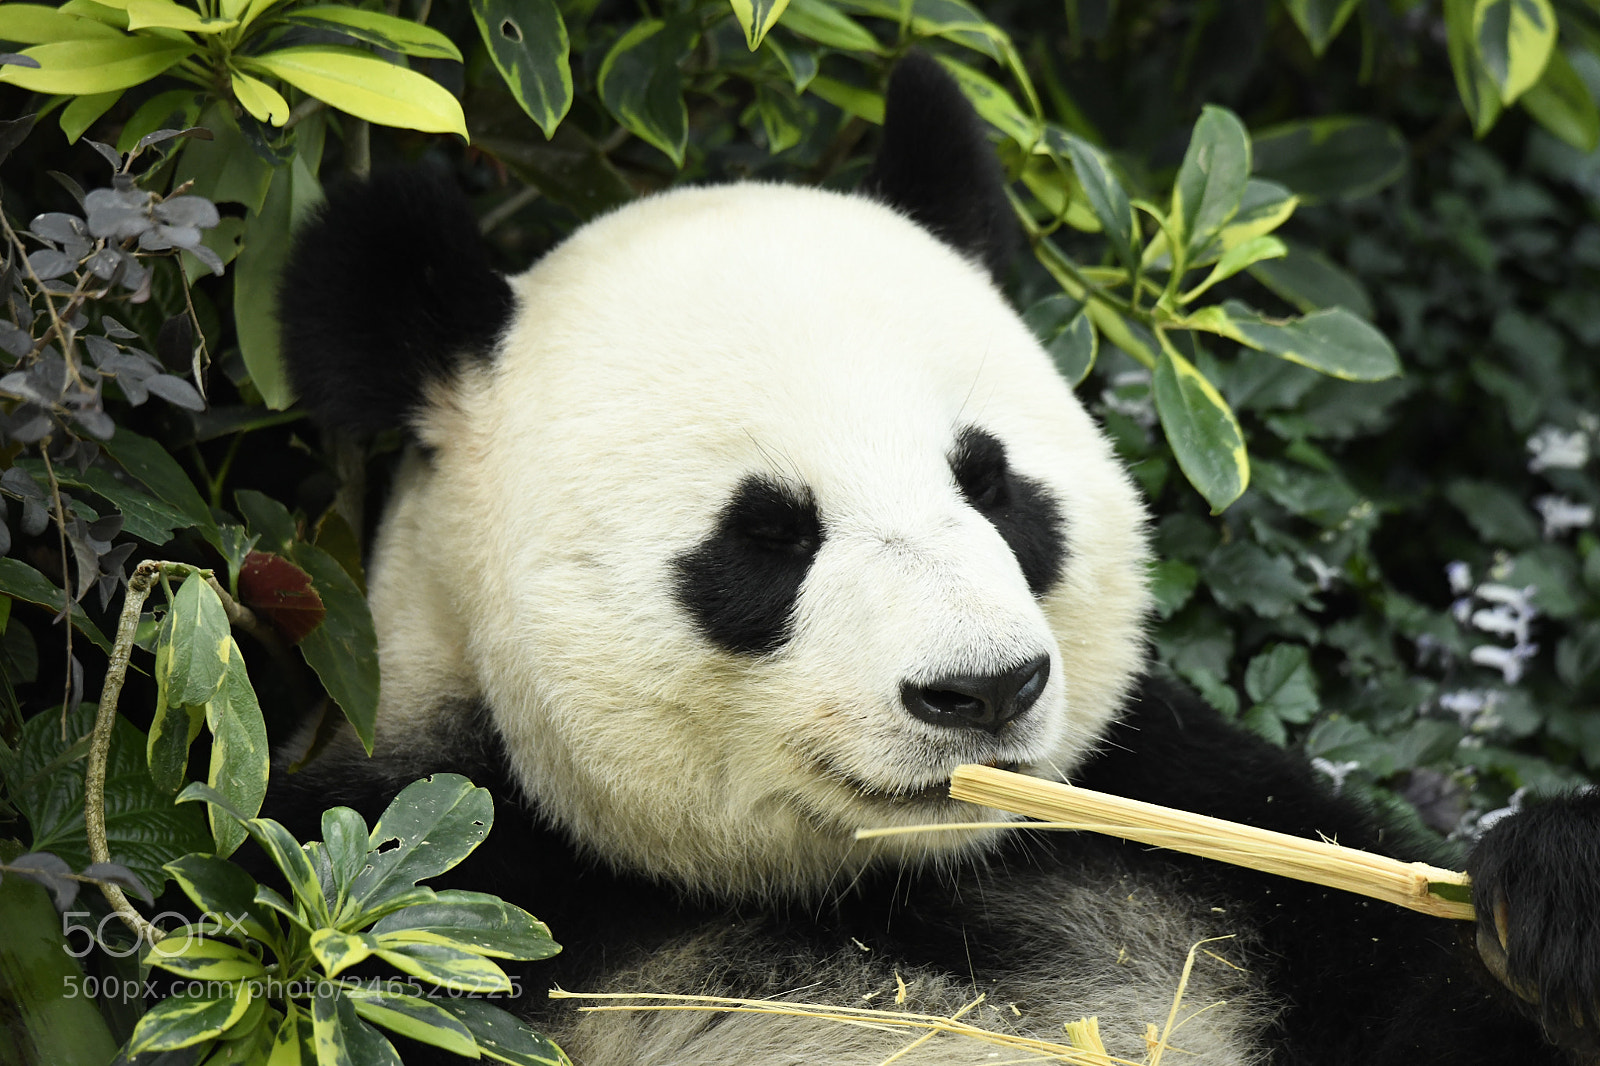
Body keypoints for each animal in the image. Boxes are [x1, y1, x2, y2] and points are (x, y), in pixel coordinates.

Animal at [271, 54, 1600, 1066]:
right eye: (768, 536)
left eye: (992, 485)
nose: (984, 690)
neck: (878, 888)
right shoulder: (443, 880)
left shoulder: (1185, 825)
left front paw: (1553, 891)